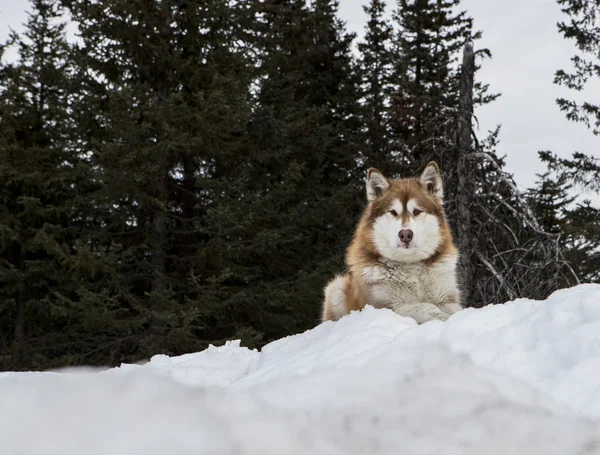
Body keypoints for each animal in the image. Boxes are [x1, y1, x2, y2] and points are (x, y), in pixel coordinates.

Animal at [322, 163, 462, 324]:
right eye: (393, 212)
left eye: (417, 211)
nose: (405, 234)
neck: (411, 267)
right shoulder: (384, 306)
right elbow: (424, 307)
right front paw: (443, 317)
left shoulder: (446, 297)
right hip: (336, 288)